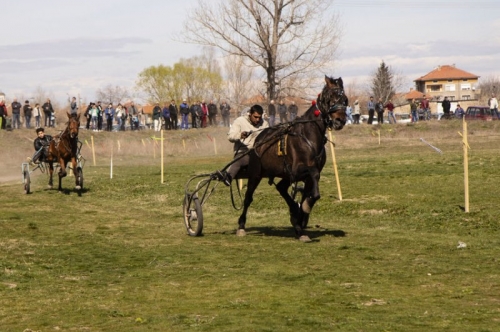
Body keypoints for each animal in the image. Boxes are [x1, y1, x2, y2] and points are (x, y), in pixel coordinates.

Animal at [236, 76, 346, 241]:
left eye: (344, 99)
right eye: (330, 98)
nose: (340, 120)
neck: (308, 135)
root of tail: (259, 138)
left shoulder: (304, 176)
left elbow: (312, 194)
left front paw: (301, 221)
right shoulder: (299, 170)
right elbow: (313, 178)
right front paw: (300, 213)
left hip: (285, 174)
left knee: (281, 188)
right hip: (256, 173)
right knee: (249, 197)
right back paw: (242, 225)